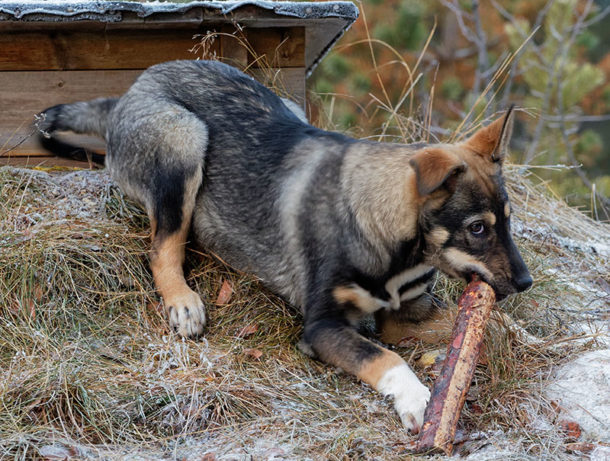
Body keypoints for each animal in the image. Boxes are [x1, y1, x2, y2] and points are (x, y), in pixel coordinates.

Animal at [35, 60, 528, 432]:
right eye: (477, 228)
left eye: (506, 221)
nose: (526, 283)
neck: (391, 243)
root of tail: (133, 88)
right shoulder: (322, 327)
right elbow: (385, 357)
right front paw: (419, 400)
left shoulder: (407, 312)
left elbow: (477, 327)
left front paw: (517, 337)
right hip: (183, 141)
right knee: (162, 248)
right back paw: (182, 302)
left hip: (283, 106)